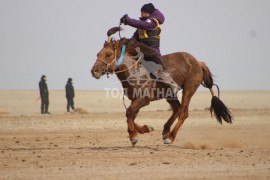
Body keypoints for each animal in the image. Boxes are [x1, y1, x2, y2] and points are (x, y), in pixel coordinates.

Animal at [91, 26, 232, 145]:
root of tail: (198, 62)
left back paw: (171, 137)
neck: (135, 72)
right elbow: (130, 115)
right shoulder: (135, 99)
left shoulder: (144, 99)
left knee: (183, 113)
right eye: (97, 54)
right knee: (177, 109)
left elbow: (129, 112)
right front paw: (145, 128)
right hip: (170, 95)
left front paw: (134, 136)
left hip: (188, 90)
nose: (94, 71)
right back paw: (165, 131)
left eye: (108, 54)